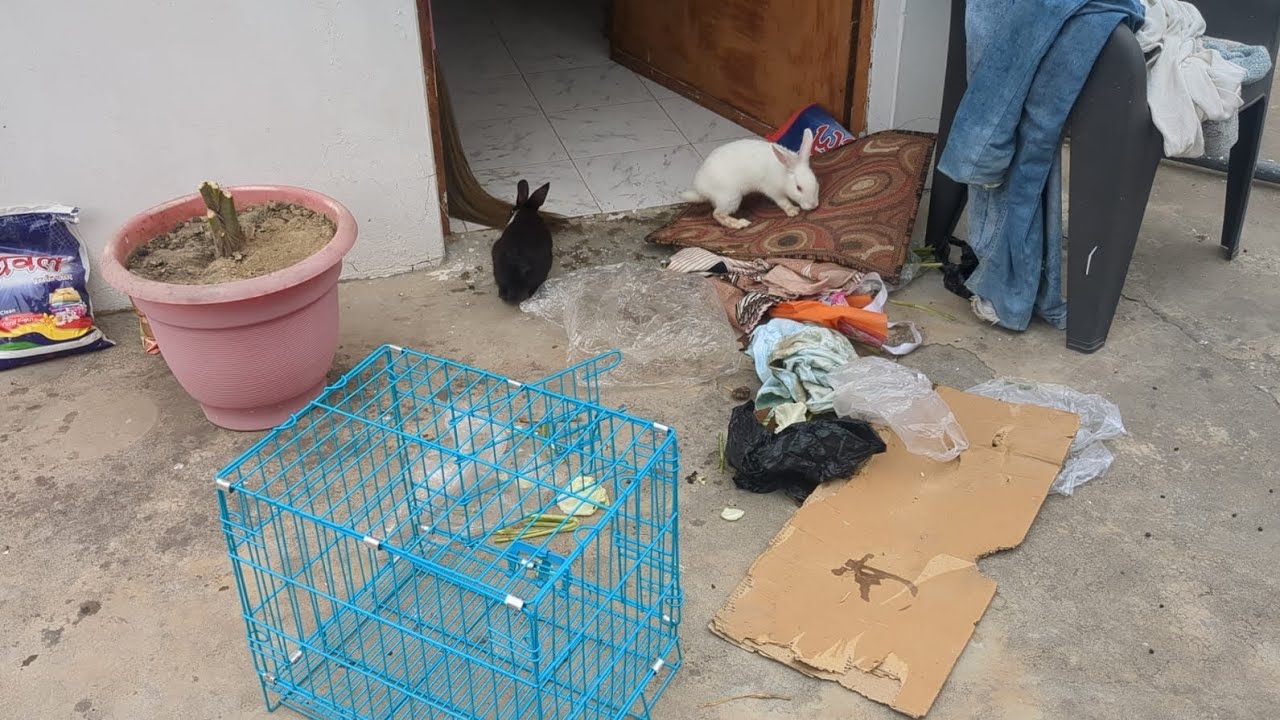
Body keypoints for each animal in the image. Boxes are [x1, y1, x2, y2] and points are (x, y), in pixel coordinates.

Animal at [680, 128, 819, 230]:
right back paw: (740, 223)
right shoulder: (773, 190)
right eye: (798, 188)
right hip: (731, 197)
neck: (784, 174)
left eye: (816, 183)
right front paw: (793, 211)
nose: (813, 205)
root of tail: (700, 189)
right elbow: (782, 201)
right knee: (717, 214)